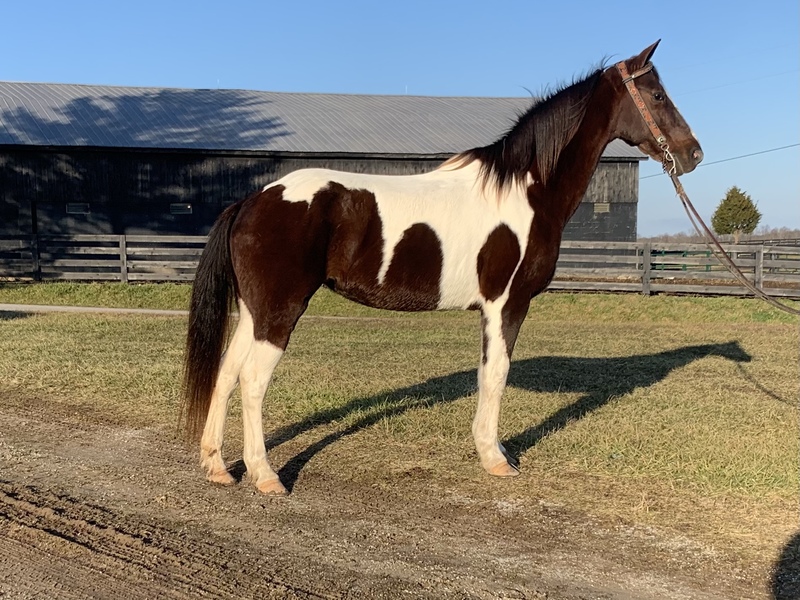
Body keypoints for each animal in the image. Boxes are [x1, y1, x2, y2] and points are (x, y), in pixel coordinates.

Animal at [182, 41, 703, 496]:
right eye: (657, 95)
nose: (693, 153)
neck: (526, 188)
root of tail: (253, 200)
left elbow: (487, 373)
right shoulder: (506, 304)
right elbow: (496, 375)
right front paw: (495, 459)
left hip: (255, 311)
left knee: (226, 374)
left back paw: (217, 467)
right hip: (280, 311)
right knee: (252, 381)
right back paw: (265, 476)